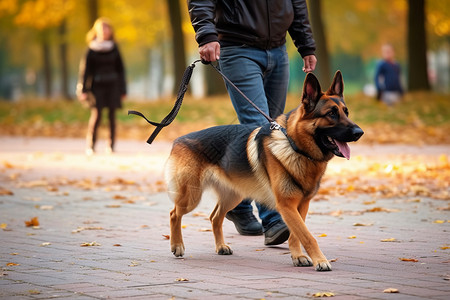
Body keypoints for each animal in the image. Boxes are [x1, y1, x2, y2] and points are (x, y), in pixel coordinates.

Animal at [167, 71, 364, 270]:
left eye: (346, 112)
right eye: (331, 114)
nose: (359, 133)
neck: (295, 146)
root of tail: (179, 140)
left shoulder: (300, 206)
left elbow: (297, 234)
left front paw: (298, 256)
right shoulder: (287, 205)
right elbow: (307, 236)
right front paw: (320, 260)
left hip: (233, 196)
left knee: (215, 217)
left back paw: (220, 246)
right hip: (192, 197)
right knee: (174, 214)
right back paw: (177, 246)